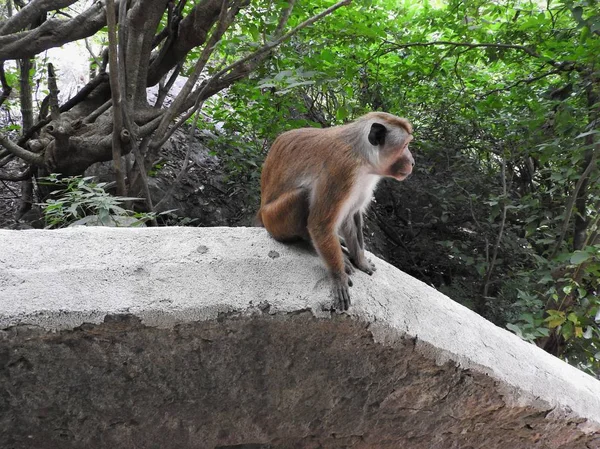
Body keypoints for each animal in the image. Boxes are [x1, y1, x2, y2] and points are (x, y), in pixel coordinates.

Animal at [255, 111, 414, 312]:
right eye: (405, 146)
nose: (412, 162)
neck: (362, 157)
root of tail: (262, 214)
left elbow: (352, 215)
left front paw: (360, 259)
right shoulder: (342, 170)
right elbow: (320, 224)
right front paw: (338, 277)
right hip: (274, 220)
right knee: (304, 197)